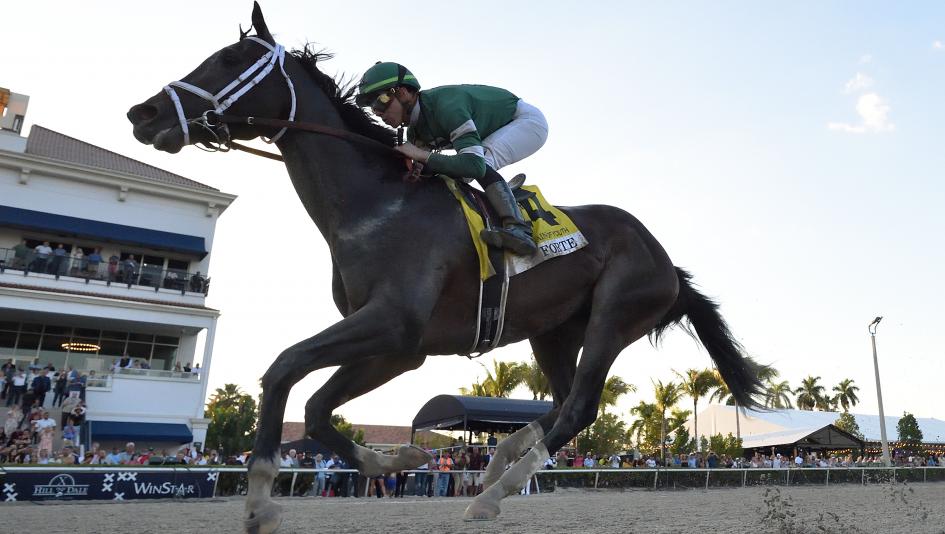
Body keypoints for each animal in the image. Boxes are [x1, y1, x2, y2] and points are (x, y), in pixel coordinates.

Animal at [127, 3, 766, 532]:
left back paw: (492, 492)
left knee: (581, 405)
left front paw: (261, 500)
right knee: (561, 404)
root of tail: (668, 262)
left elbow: (282, 369)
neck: (376, 205)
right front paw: (401, 456)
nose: (143, 111)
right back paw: (499, 463)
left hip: (616, 312)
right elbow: (314, 409)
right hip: (552, 331)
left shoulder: (394, 325)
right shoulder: (399, 346)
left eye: (230, 59)